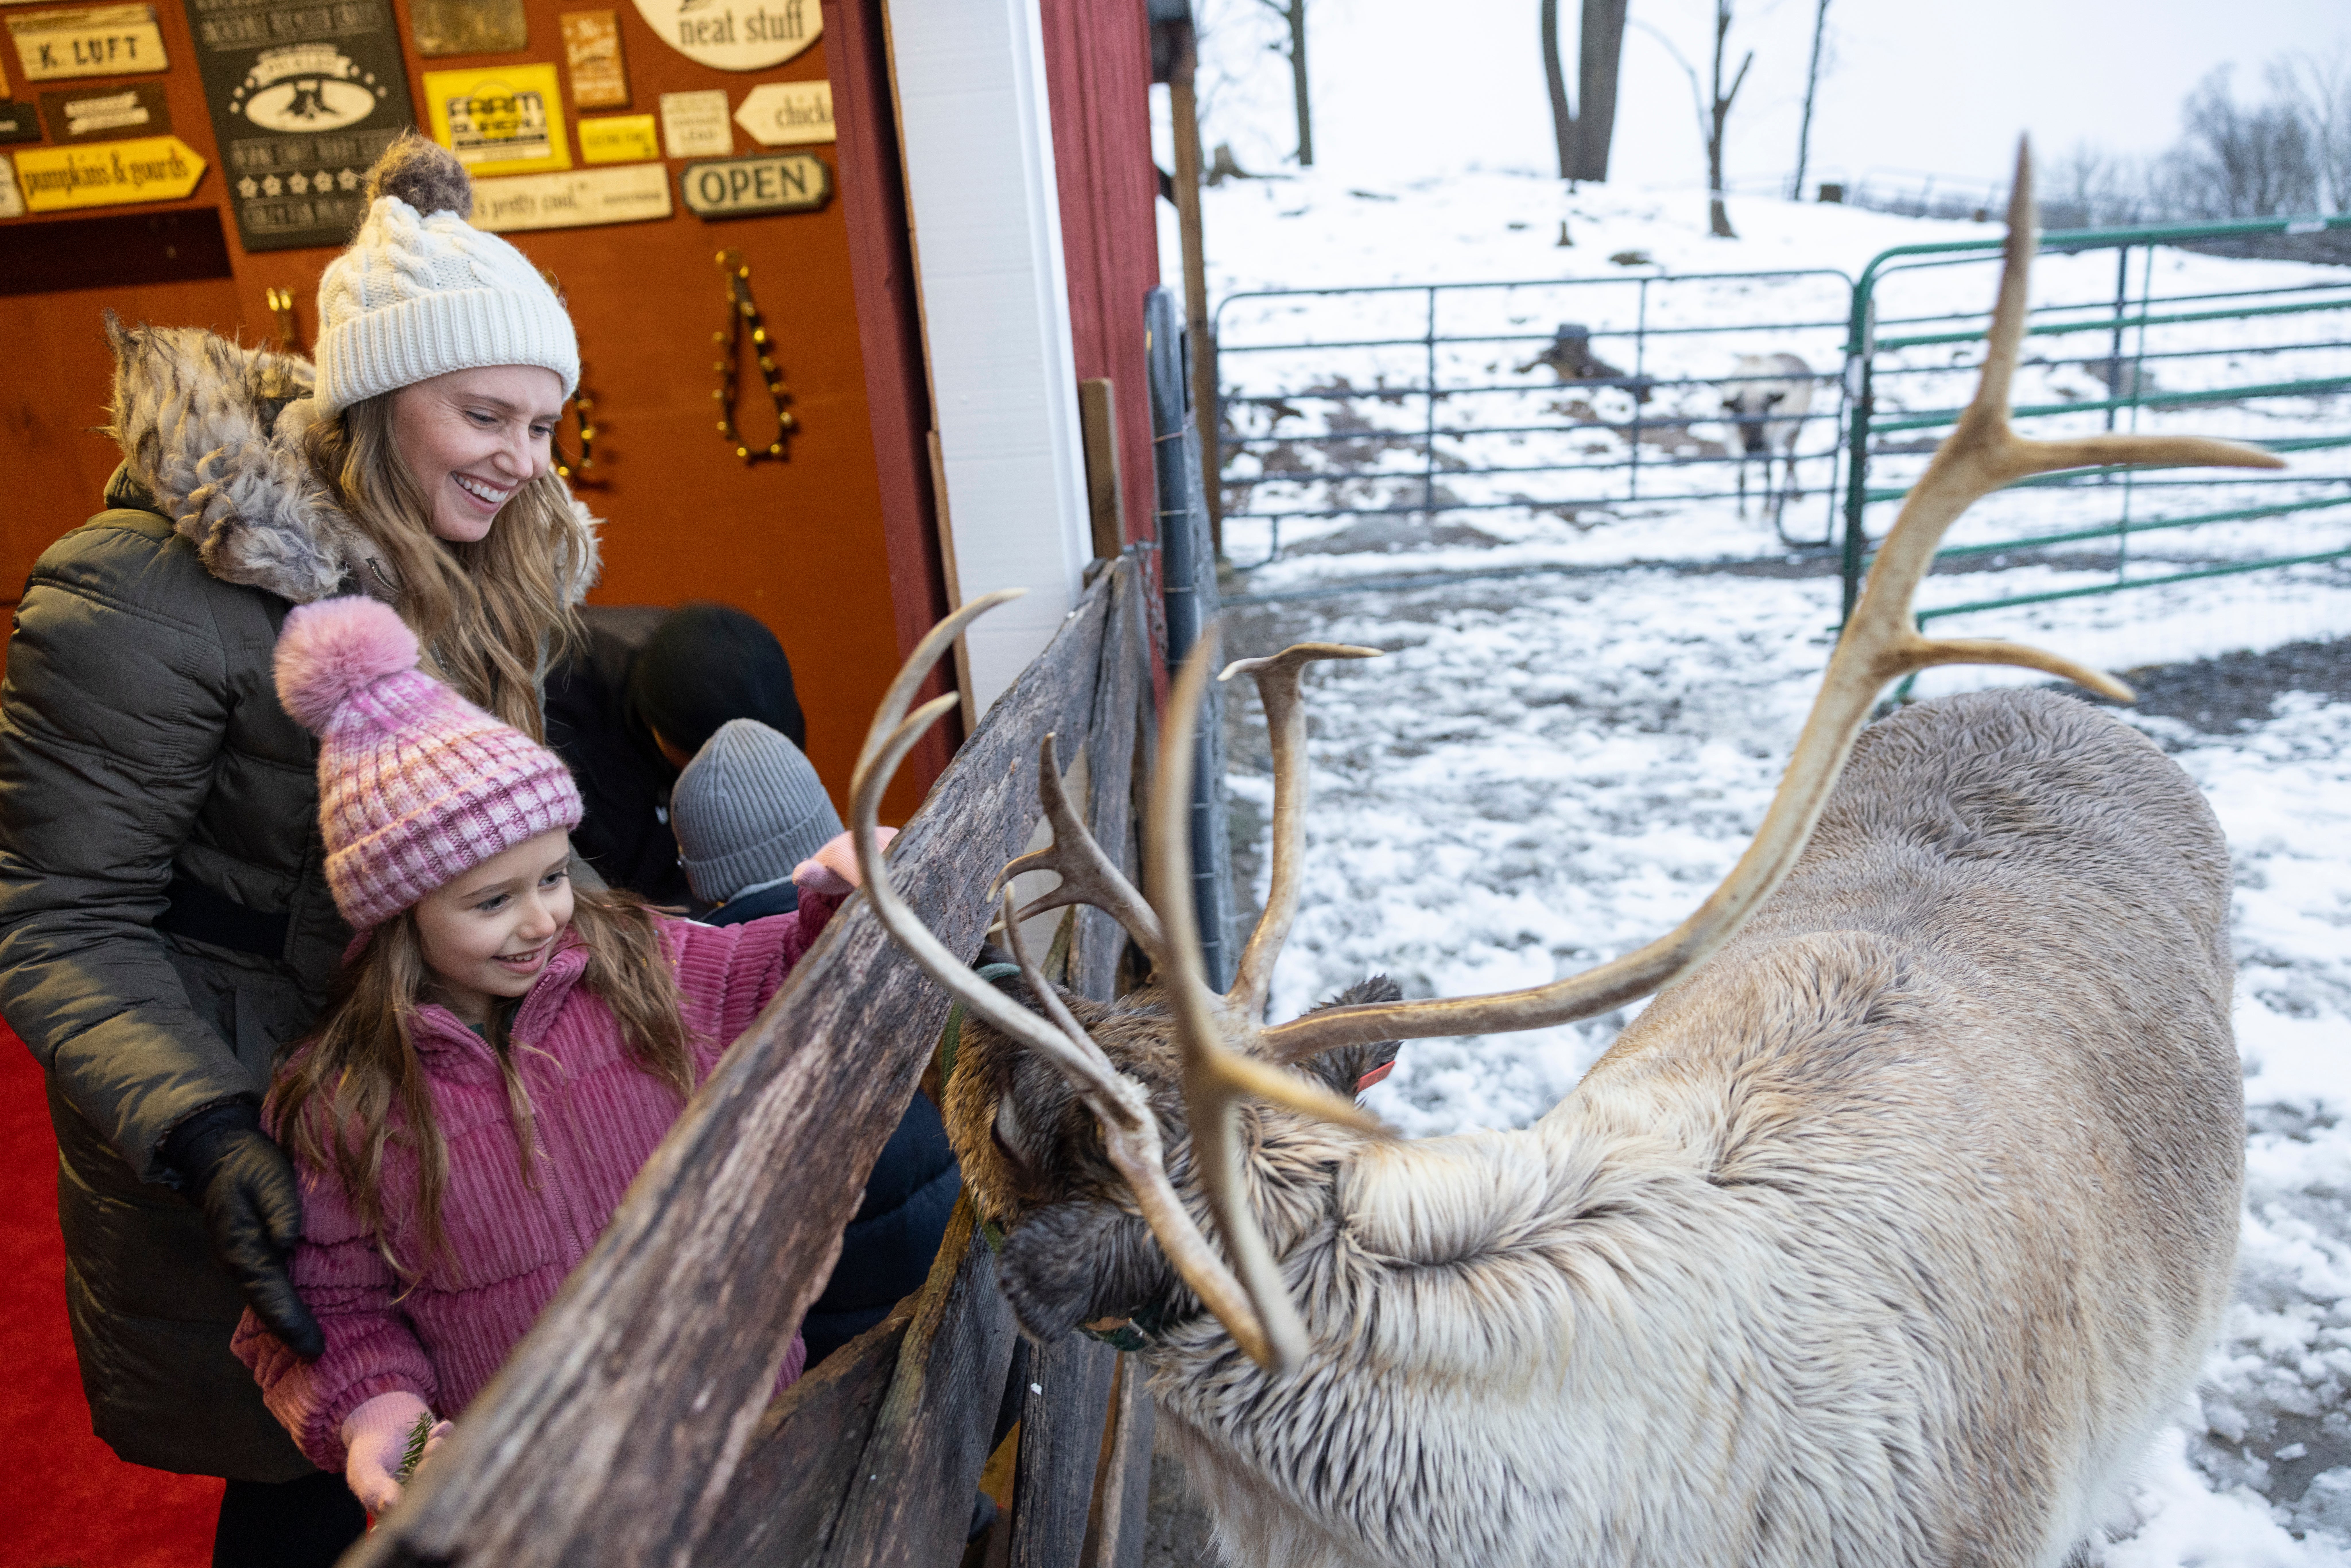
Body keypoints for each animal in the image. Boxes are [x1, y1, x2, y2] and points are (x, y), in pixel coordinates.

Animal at [1721, 351, 1819, 546]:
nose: (1755, 448)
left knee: (1791, 459)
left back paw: (1796, 495)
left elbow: (1768, 475)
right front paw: (1742, 512)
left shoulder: (1770, 444)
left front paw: (1766, 510)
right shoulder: (1735, 444)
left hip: (1795, 428)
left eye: (1767, 407)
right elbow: (1741, 478)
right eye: (1739, 410)